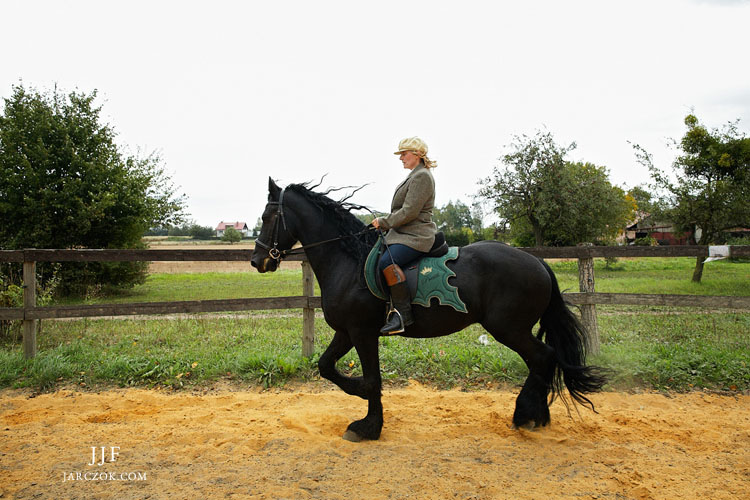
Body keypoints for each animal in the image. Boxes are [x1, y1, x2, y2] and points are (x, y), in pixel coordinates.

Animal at [250, 179, 608, 442]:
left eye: (268, 218)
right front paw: (363, 406)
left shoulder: (363, 333)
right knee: (543, 360)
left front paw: (368, 426)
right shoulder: (346, 332)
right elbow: (326, 366)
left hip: (509, 328)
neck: (348, 261)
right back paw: (537, 417)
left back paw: (524, 415)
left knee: (543, 357)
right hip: (513, 329)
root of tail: (538, 262)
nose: (257, 261)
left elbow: (372, 379)